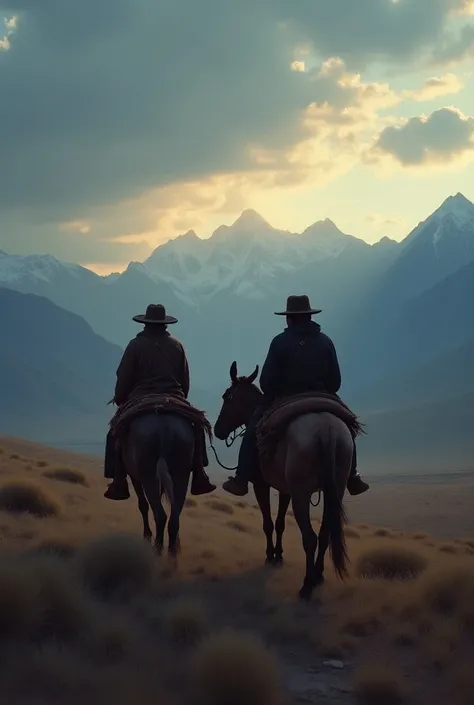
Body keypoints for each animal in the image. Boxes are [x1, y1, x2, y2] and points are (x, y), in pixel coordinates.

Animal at [213, 364, 350, 600]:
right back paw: (318, 575)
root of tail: (327, 430)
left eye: (227, 396)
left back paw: (307, 585)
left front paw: (270, 556)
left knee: (310, 538)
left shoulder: (261, 485)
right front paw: (279, 556)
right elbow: (280, 523)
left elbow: (268, 523)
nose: (217, 430)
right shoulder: (286, 491)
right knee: (324, 534)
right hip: (335, 490)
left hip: (301, 494)